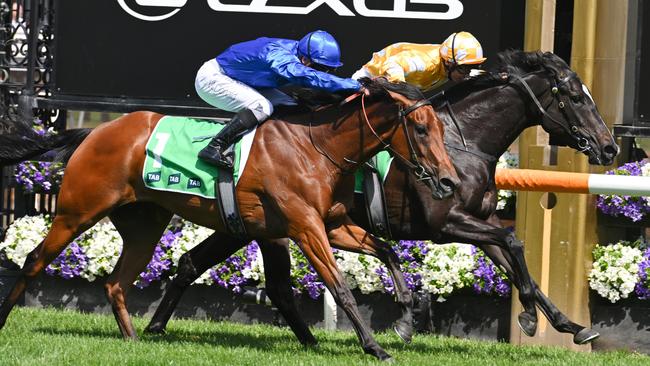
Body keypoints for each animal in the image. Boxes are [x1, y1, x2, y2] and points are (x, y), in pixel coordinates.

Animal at [0, 78, 458, 360]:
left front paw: (405, 315)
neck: (317, 146)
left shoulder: (331, 223)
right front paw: (375, 347)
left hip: (145, 224)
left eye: (439, 127)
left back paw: (134, 340)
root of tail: (96, 132)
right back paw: (5, 319)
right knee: (35, 260)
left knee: (116, 282)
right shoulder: (305, 227)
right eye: (420, 128)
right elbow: (341, 286)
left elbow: (386, 251)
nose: (449, 181)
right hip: (77, 210)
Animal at [140, 50, 612, 344]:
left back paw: (156, 327)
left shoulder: (481, 222)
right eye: (574, 96)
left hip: (244, 224)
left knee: (191, 263)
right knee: (208, 268)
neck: (463, 142)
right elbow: (514, 246)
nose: (608, 148)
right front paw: (529, 317)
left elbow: (517, 261)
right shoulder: (446, 224)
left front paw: (570, 325)